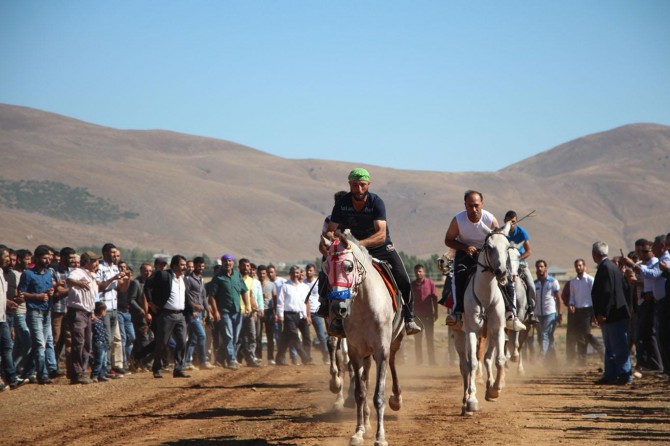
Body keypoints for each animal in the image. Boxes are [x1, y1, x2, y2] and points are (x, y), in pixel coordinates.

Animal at [324, 230, 406, 446]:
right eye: (326, 268)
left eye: (348, 266)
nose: (338, 307)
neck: (363, 305)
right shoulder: (355, 351)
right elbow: (360, 393)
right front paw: (359, 432)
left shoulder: (381, 350)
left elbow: (378, 395)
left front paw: (380, 437)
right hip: (365, 353)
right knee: (365, 377)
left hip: (394, 341)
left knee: (392, 362)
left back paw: (396, 399)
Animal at [456, 221, 516, 416]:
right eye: (489, 247)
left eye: (508, 247)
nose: (501, 272)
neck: (486, 295)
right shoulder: (471, 331)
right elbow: (473, 364)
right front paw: (472, 401)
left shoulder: (497, 329)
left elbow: (499, 360)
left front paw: (495, 390)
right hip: (460, 336)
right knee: (464, 365)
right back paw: (465, 401)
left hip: (488, 333)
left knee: (488, 358)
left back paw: (489, 389)